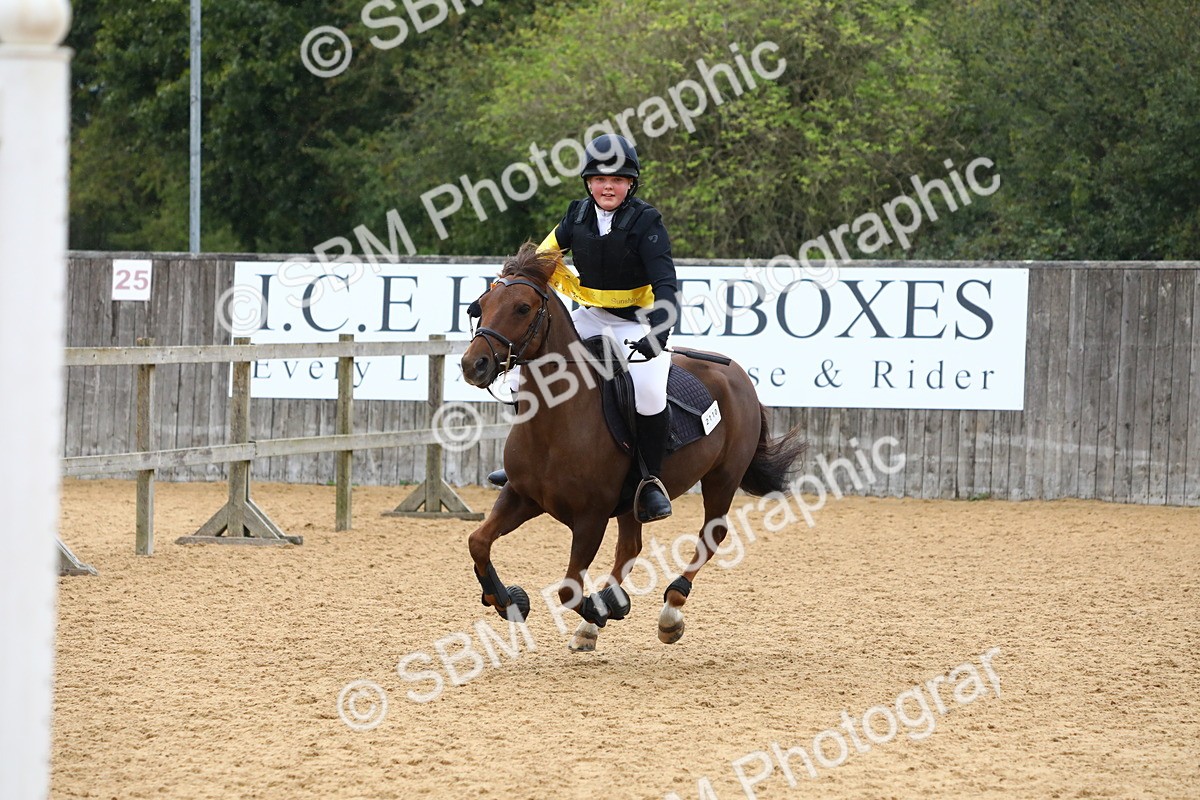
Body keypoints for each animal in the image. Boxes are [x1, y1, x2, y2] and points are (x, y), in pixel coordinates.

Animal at [459, 242, 806, 651]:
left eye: (523, 308)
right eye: (482, 304)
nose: (474, 365)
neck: (556, 421)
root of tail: (736, 372)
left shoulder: (590, 517)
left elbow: (569, 589)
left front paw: (601, 609)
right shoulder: (521, 496)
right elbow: (478, 542)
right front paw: (507, 600)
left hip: (723, 477)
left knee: (712, 535)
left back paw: (668, 611)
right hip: (633, 502)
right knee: (630, 547)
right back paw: (598, 616)